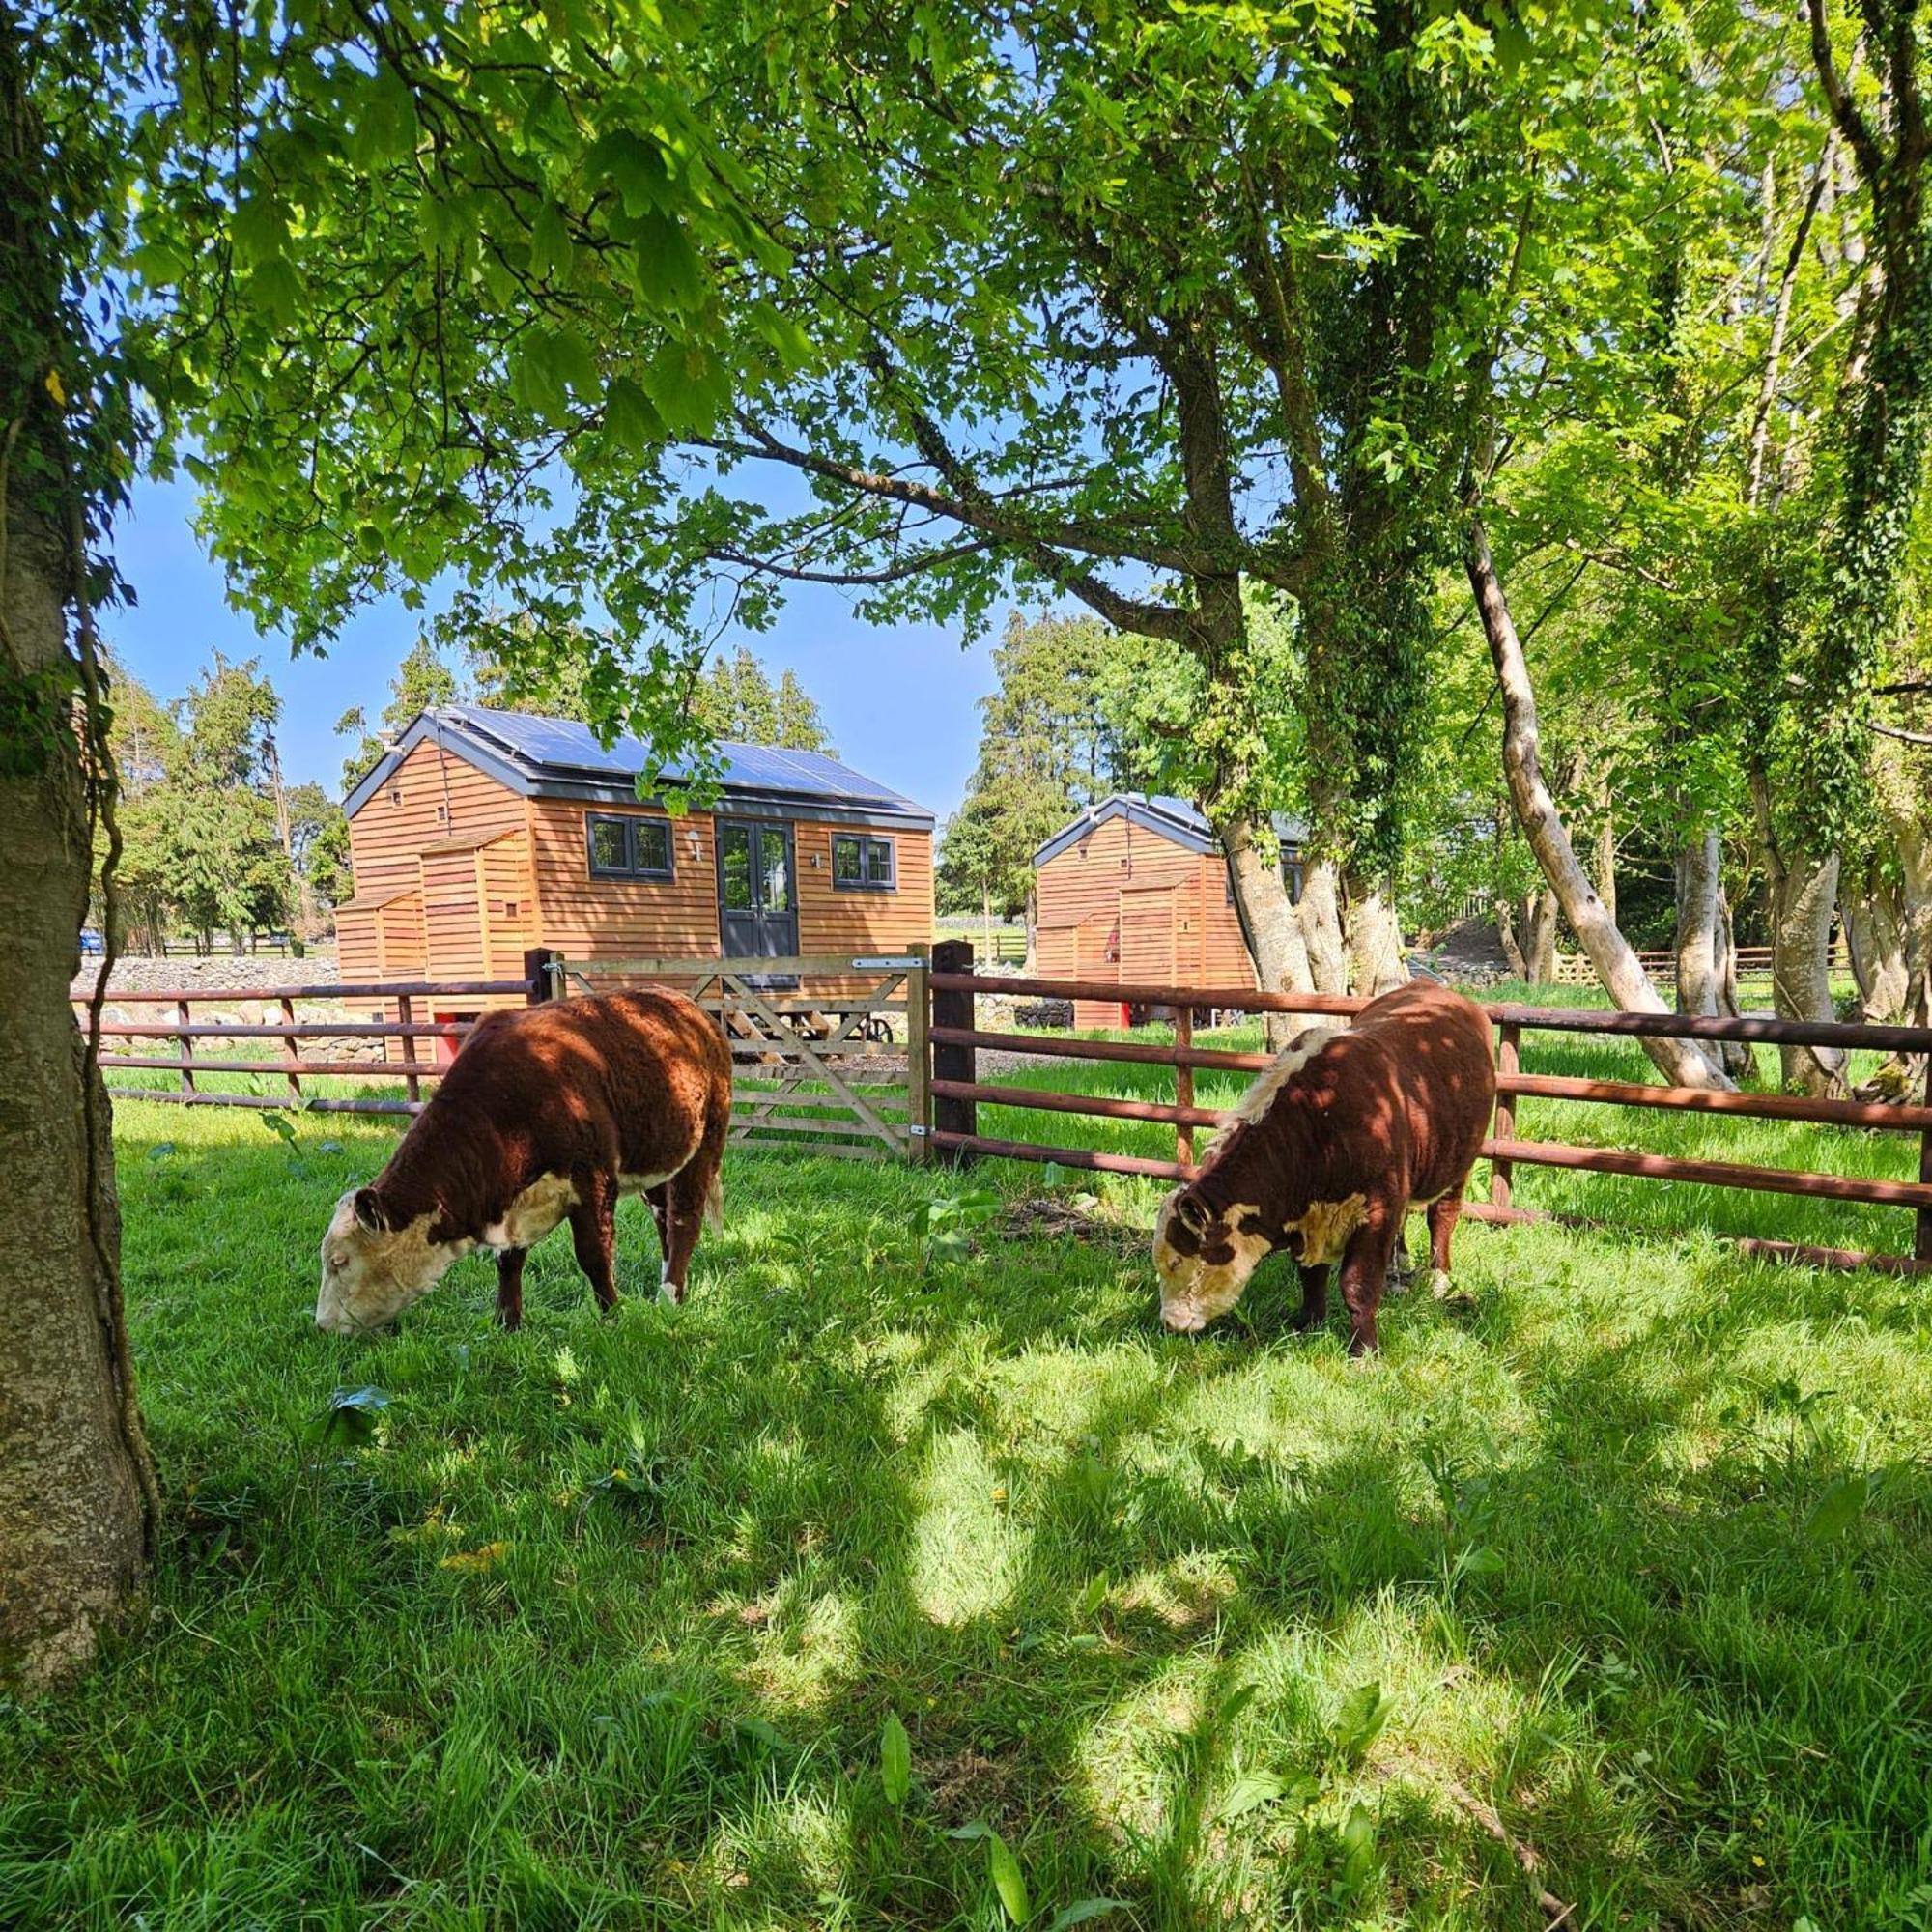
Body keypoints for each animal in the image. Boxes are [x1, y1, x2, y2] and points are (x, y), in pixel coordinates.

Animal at [317, 989, 730, 1337]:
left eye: (339, 1261)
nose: (321, 1325)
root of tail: (692, 1010)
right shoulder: (509, 1198)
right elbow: (508, 1260)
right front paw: (507, 1323)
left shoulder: (593, 1180)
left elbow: (594, 1257)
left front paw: (613, 1315)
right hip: (658, 1159)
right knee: (664, 1219)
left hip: (707, 1143)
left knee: (684, 1221)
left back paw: (670, 1296)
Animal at [1144, 974, 1492, 1352]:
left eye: (1177, 1259)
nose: (1170, 1322)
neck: (1318, 1120)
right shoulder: (1310, 1220)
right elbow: (1311, 1277)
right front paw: (1308, 1324)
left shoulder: (1377, 1209)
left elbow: (1357, 1284)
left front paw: (1363, 1350)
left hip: (1459, 1163)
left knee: (1442, 1217)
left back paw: (1438, 1279)